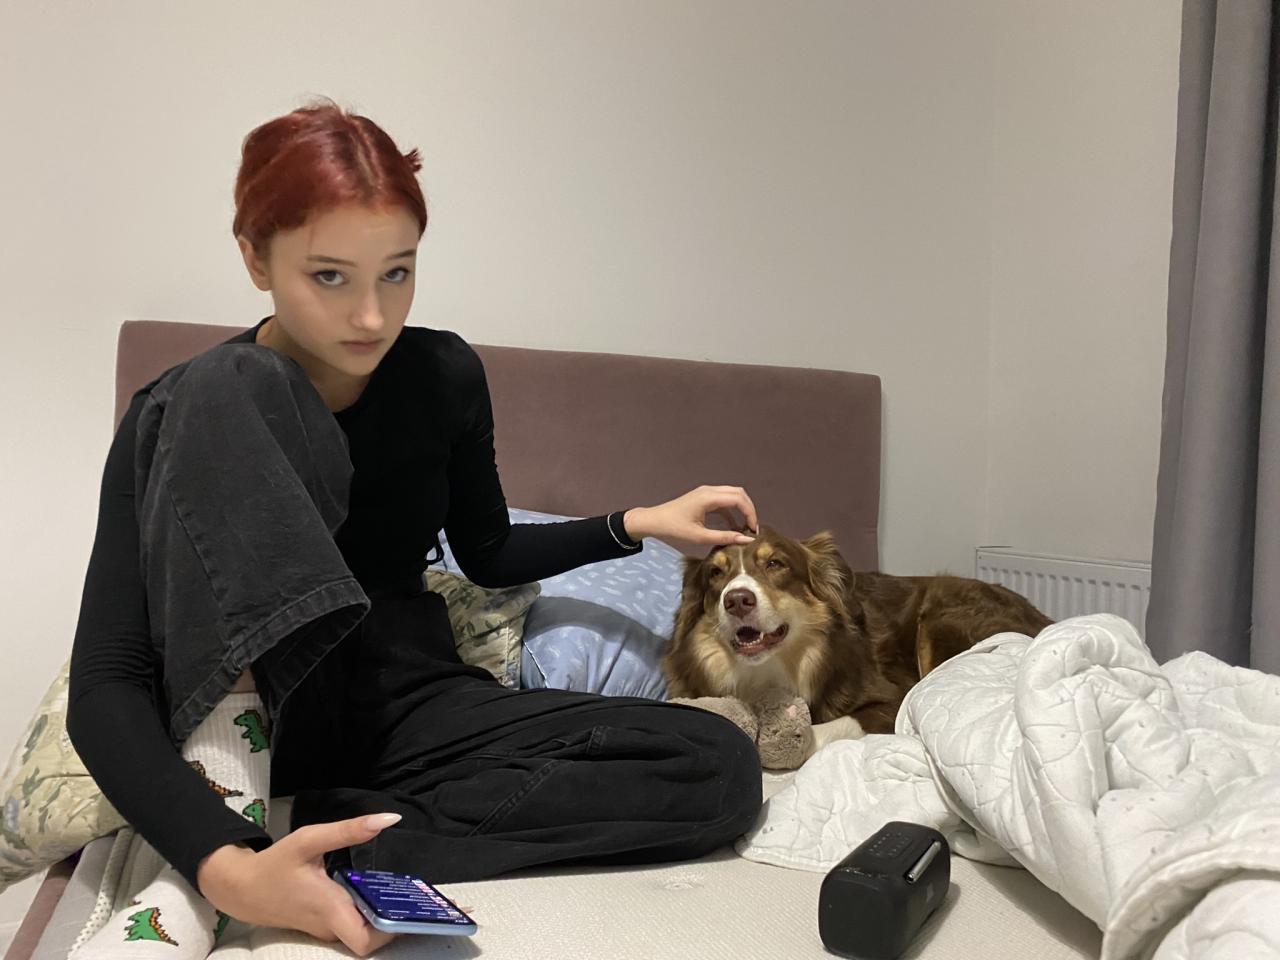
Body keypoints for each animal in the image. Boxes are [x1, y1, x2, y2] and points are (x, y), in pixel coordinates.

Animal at [663, 525, 1051, 753]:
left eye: (775, 564)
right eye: (716, 573)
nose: (737, 600)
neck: (771, 669)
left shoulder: (894, 697)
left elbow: (836, 725)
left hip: (940, 618)